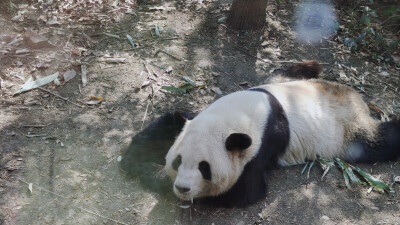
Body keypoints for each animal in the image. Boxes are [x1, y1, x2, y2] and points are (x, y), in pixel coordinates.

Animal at [120, 61, 398, 207]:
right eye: (178, 161)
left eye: (204, 168)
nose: (182, 187)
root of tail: (357, 99)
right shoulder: (200, 116)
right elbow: (168, 123)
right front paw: (134, 160)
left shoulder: (262, 146)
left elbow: (245, 191)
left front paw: (157, 178)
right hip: (289, 83)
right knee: (288, 71)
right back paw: (311, 66)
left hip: (348, 132)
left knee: (378, 141)